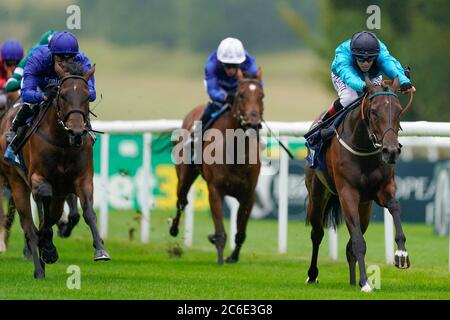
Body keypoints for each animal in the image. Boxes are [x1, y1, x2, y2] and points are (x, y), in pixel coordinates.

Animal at [0, 62, 109, 278]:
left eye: (87, 96)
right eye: (63, 95)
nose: (76, 132)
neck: (62, 143)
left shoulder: (82, 179)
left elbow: (87, 212)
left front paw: (100, 249)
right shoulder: (38, 179)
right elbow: (43, 213)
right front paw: (48, 249)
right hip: (15, 181)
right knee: (28, 226)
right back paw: (38, 268)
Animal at [170, 69, 264, 264]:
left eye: (262, 95)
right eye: (241, 95)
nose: (253, 123)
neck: (235, 153)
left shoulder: (248, 195)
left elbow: (241, 232)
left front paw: (233, 257)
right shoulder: (215, 189)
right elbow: (220, 231)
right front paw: (219, 253)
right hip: (184, 176)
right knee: (181, 200)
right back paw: (173, 228)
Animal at [304, 77, 414, 292]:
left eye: (399, 110)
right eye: (373, 111)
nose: (391, 151)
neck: (364, 147)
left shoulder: (383, 190)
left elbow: (395, 207)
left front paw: (401, 254)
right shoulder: (348, 194)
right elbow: (358, 242)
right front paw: (366, 283)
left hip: (365, 207)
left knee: (348, 247)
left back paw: (353, 281)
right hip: (317, 194)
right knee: (317, 233)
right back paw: (313, 275)